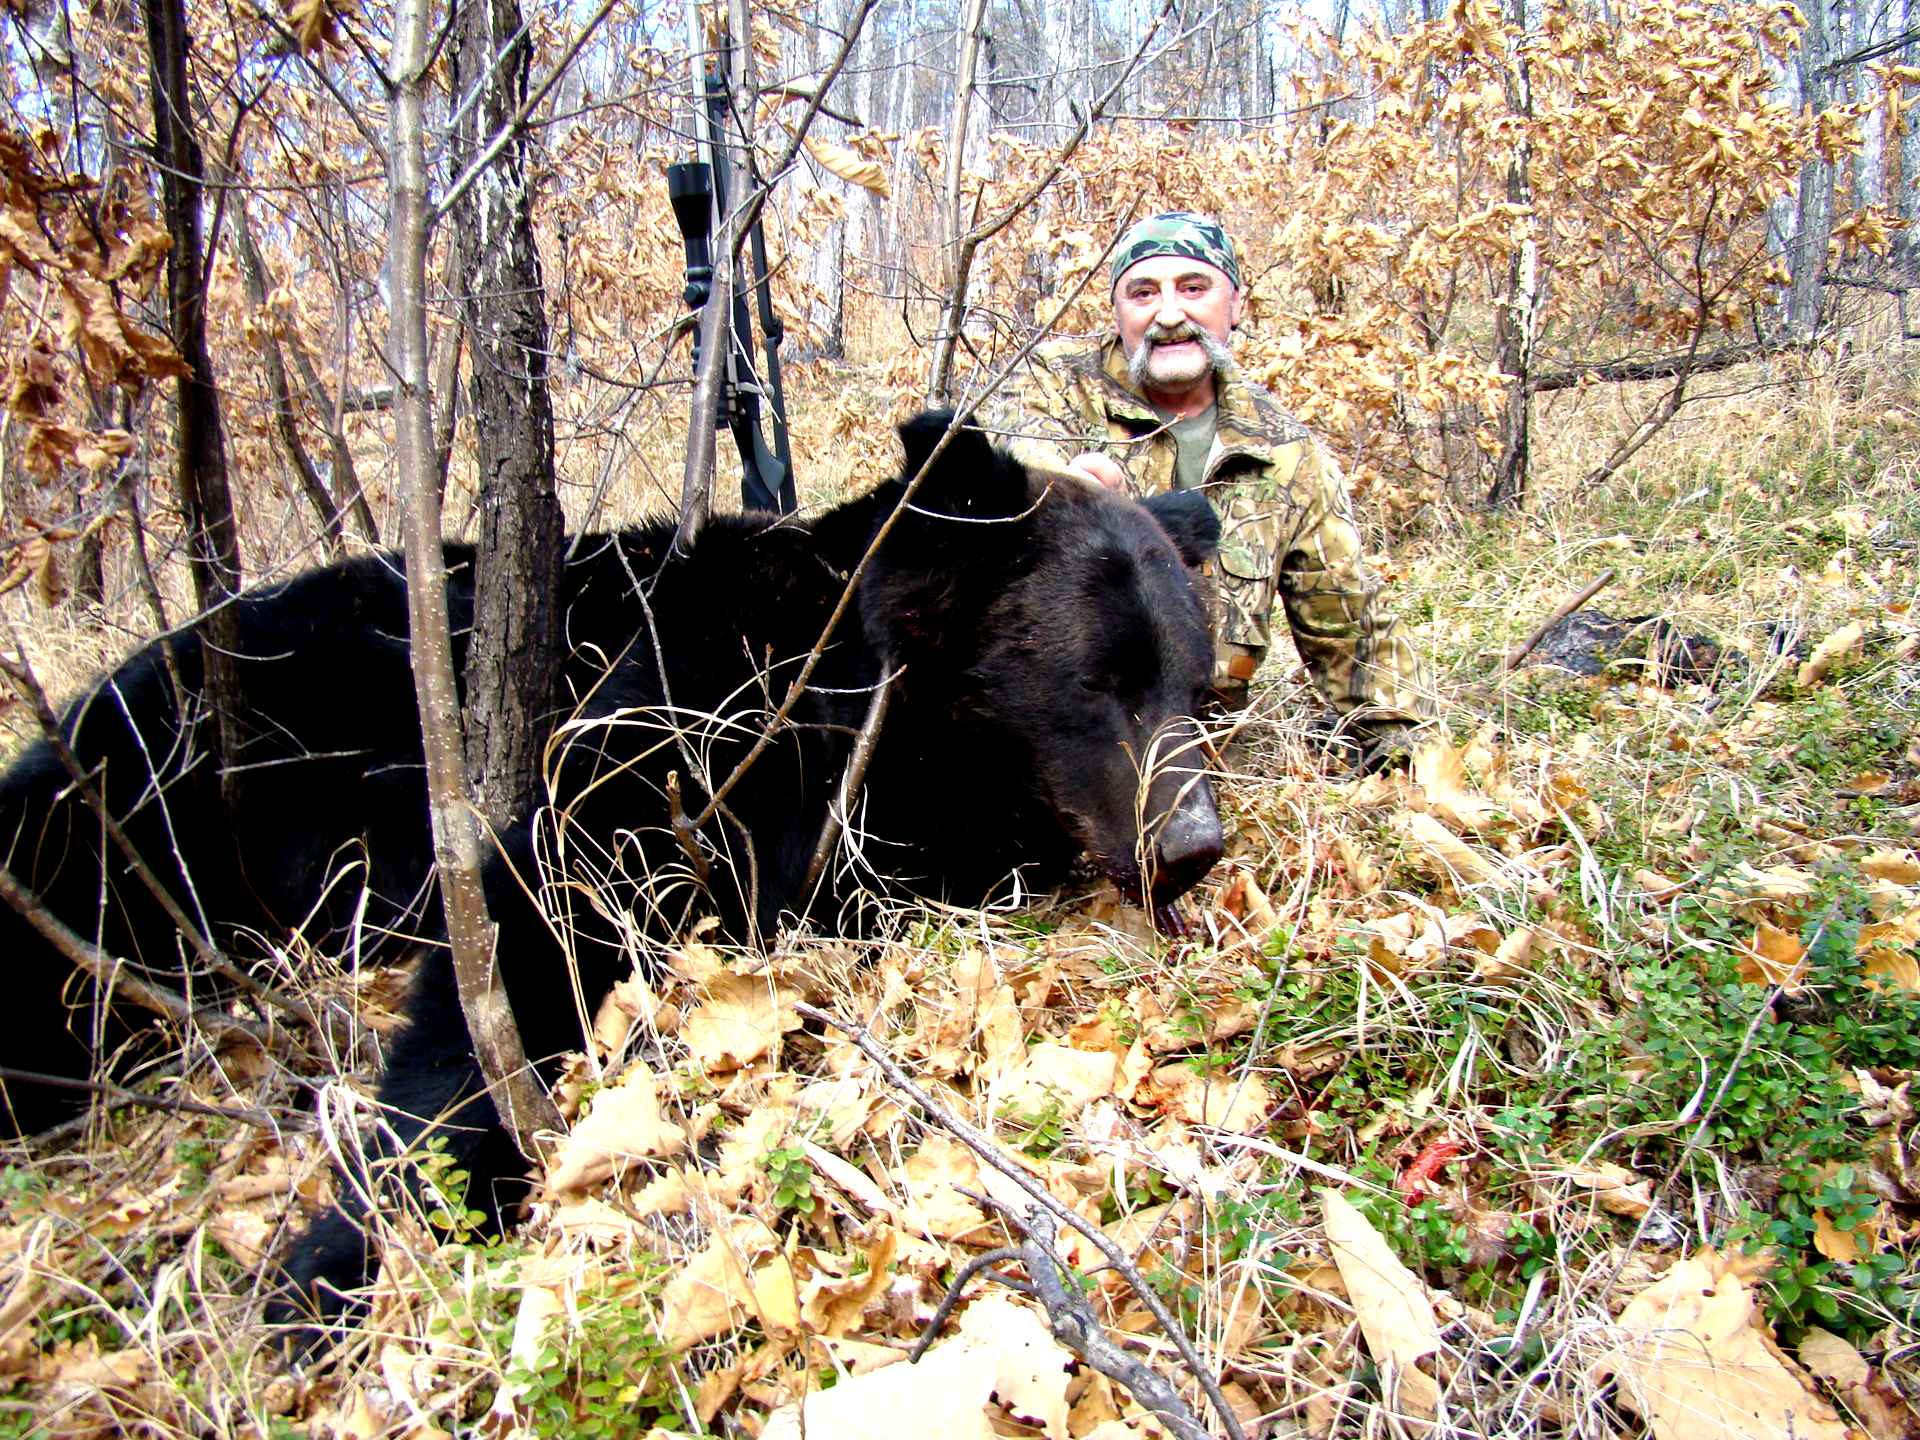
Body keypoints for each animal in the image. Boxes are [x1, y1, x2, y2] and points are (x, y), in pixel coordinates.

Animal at [0, 410, 1228, 1336]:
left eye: (1193, 682)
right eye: (1103, 678)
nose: (1194, 845)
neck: (840, 674)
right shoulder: (665, 725)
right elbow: (525, 929)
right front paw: (341, 1257)